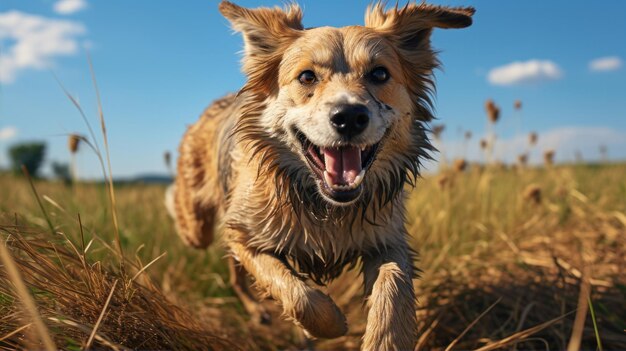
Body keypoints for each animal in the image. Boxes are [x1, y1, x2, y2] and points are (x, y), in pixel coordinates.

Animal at [168, 2, 470, 350]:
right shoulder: (245, 233)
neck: (326, 207)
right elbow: (298, 294)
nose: (349, 116)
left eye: (380, 73)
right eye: (307, 76)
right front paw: (329, 324)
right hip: (199, 224)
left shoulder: (388, 240)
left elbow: (392, 289)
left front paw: (384, 339)